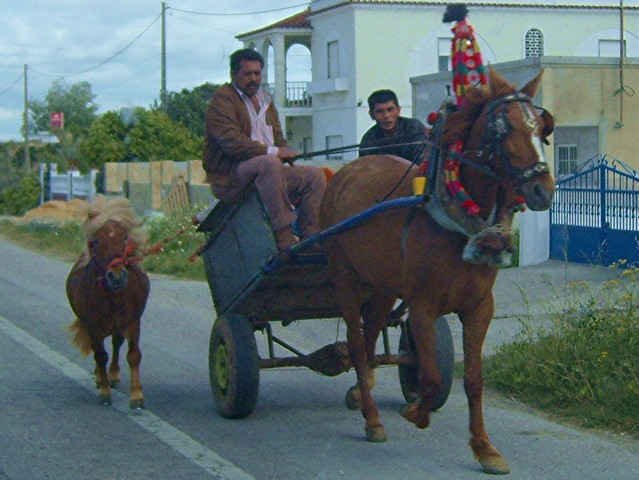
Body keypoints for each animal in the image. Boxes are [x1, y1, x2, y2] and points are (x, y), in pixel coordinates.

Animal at [67, 196, 151, 408]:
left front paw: (137, 396)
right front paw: (105, 392)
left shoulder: (133, 322)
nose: (117, 276)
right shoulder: (93, 325)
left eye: (125, 239)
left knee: (116, 343)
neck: (114, 296)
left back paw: (112, 376)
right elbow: (100, 355)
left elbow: (134, 355)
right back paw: (101, 378)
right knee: (101, 352)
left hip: (118, 326)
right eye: (96, 242)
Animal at [322, 68, 556, 476]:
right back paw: (372, 419)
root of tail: (344, 172)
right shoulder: (423, 306)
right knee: (356, 342)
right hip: (345, 280)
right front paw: (417, 410)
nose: (543, 190)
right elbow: (430, 378)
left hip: (382, 287)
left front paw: (484, 448)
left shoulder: (479, 308)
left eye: (543, 129)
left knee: (369, 336)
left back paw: (361, 392)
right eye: (503, 130)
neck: (454, 218)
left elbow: (474, 379)